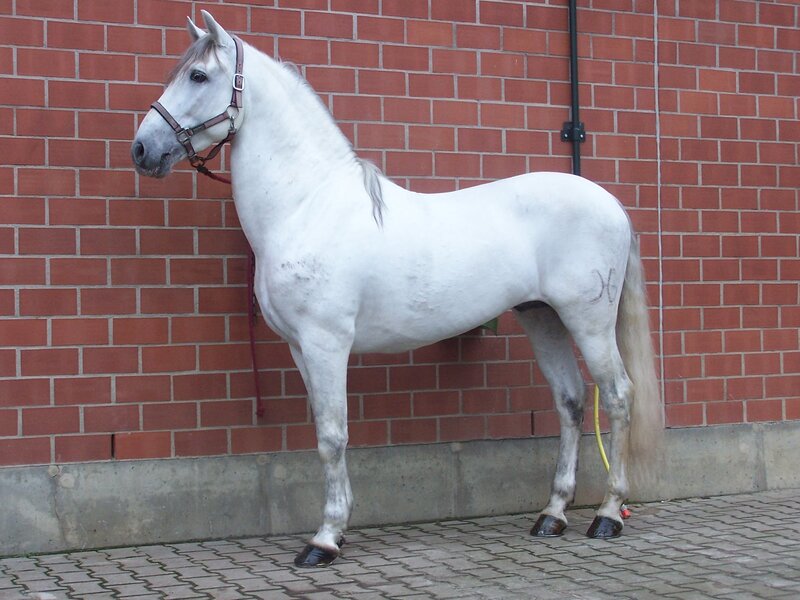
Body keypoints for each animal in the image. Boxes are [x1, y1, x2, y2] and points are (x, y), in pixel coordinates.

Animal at [132, 11, 663, 568]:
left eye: (197, 76)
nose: (142, 149)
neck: (307, 206)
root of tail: (610, 202)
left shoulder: (325, 344)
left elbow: (332, 437)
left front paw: (324, 540)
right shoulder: (301, 349)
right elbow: (325, 431)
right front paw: (338, 529)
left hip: (589, 321)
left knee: (618, 396)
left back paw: (607, 515)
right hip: (542, 316)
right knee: (570, 401)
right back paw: (552, 515)